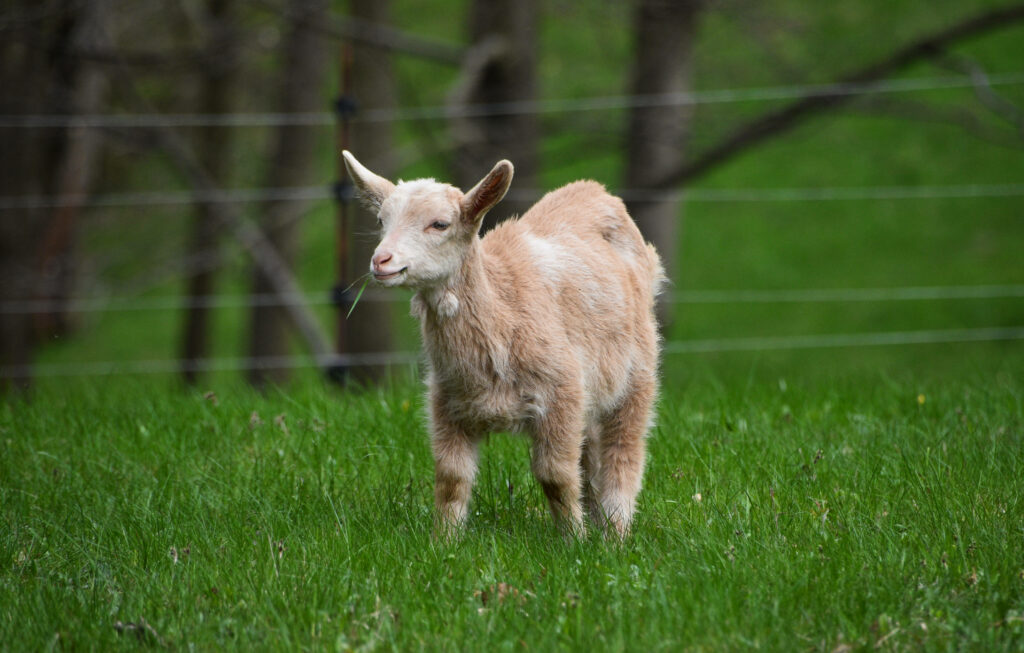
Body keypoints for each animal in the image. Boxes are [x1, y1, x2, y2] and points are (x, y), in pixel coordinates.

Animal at [342, 150, 665, 537]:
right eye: (380, 220)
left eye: (440, 224)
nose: (381, 261)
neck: (503, 310)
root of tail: (596, 191)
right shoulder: (446, 403)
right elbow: (451, 479)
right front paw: (444, 540)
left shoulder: (561, 391)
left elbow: (555, 475)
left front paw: (573, 539)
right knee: (592, 453)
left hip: (638, 370)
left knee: (624, 447)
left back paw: (615, 531)